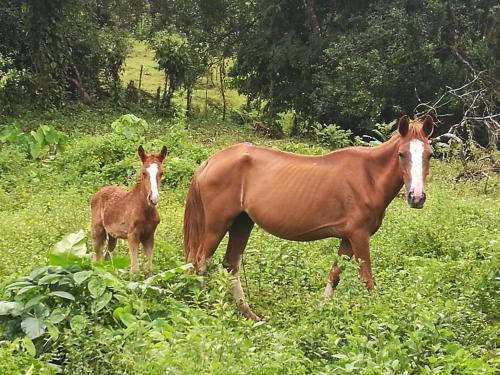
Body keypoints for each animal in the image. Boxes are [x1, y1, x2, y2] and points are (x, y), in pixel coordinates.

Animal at [90, 145, 168, 274]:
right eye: (143, 173)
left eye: (161, 173)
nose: (153, 198)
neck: (145, 210)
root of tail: (99, 192)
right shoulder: (132, 236)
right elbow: (134, 270)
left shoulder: (149, 235)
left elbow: (149, 269)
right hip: (97, 230)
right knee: (96, 257)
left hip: (112, 235)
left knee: (107, 255)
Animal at [183, 116, 434, 322]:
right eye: (401, 154)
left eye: (429, 154)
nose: (416, 197)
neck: (368, 176)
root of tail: (210, 161)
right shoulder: (359, 237)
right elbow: (367, 280)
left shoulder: (347, 239)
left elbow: (334, 276)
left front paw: (319, 312)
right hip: (217, 224)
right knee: (201, 261)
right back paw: (203, 308)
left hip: (242, 222)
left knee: (230, 265)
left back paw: (249, 314)